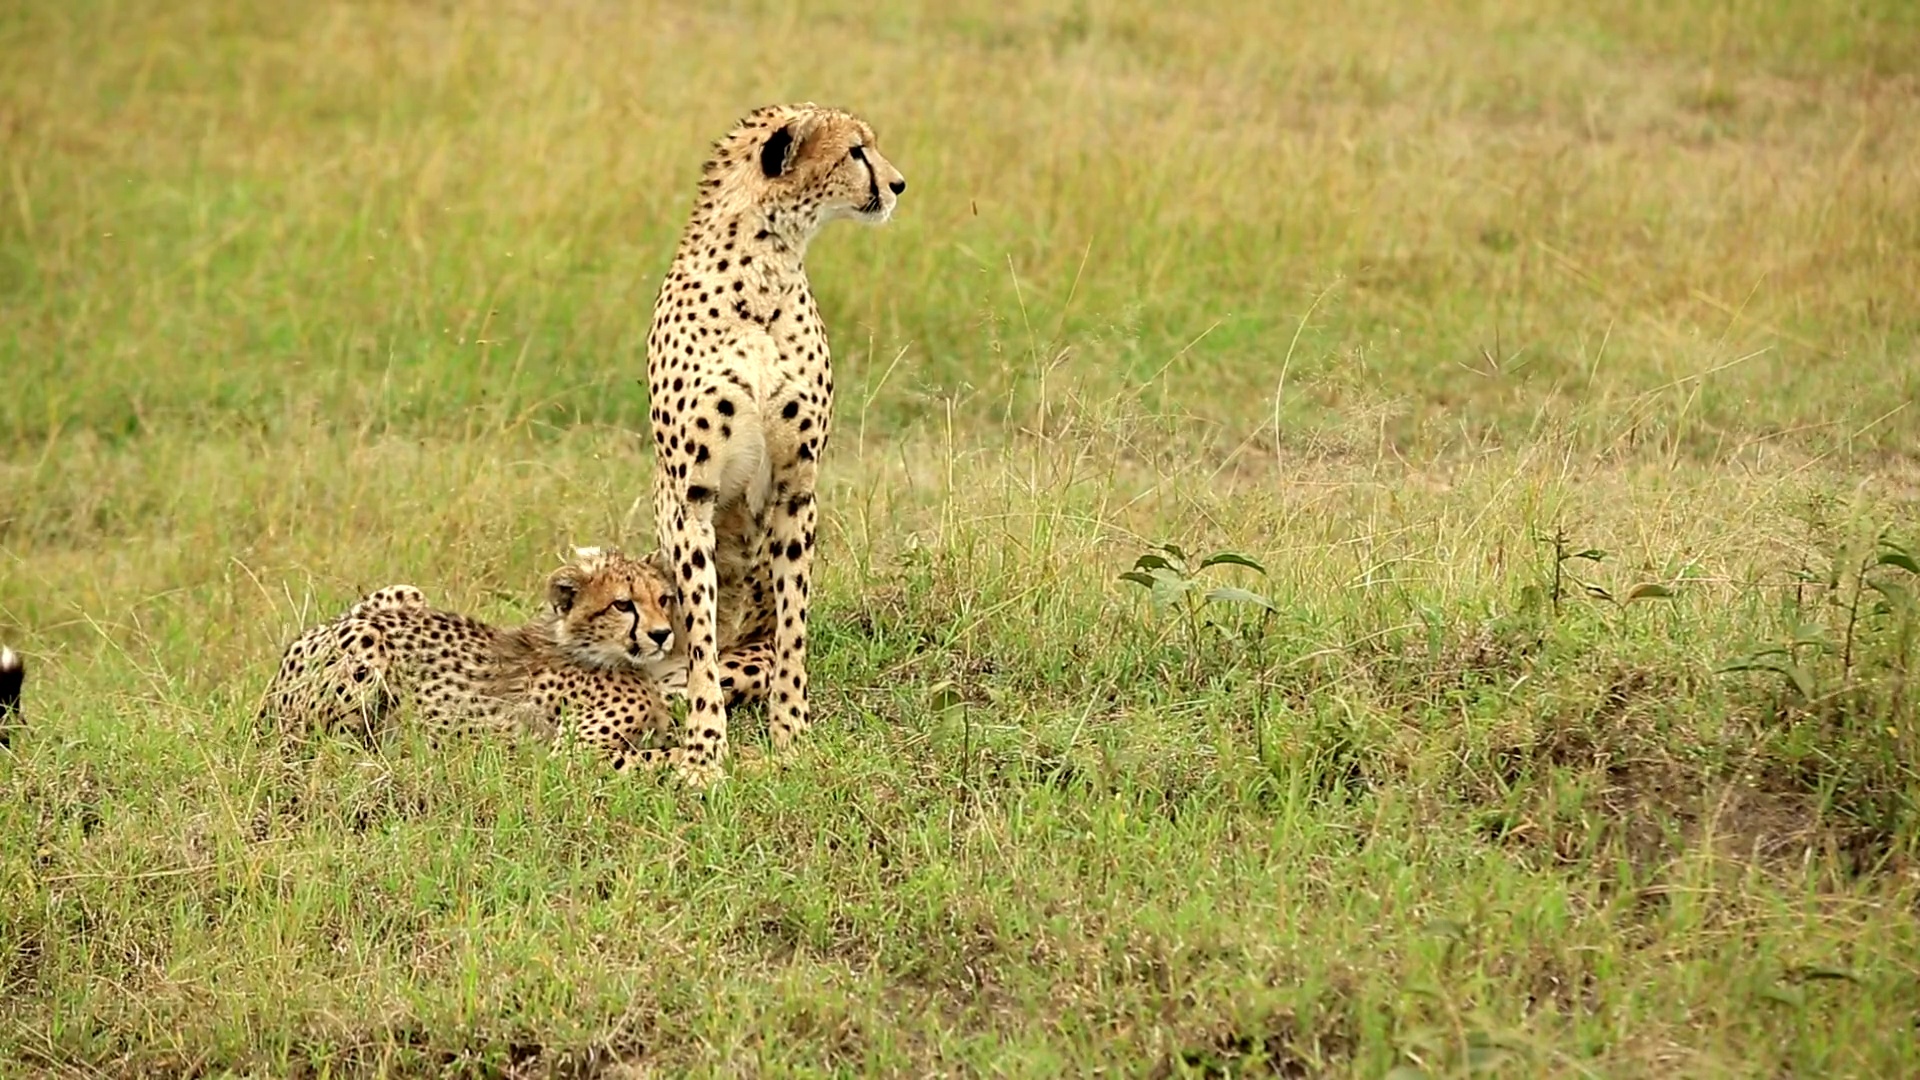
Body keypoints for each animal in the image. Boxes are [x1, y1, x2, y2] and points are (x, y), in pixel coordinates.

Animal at [263, 545, 695, 764]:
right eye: (623, 605)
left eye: (663, 598)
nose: (662, 635)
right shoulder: (573, 755)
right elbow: (662, 757)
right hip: (365, 642)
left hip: (405, 594)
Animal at [648, 100, 902, 776]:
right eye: (855, 151)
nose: (898, 184)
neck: (763, 276)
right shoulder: (691, 496)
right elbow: (701, 632)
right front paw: (704, 753)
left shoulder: (797, 487)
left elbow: (794, 623)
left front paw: (792, 734)